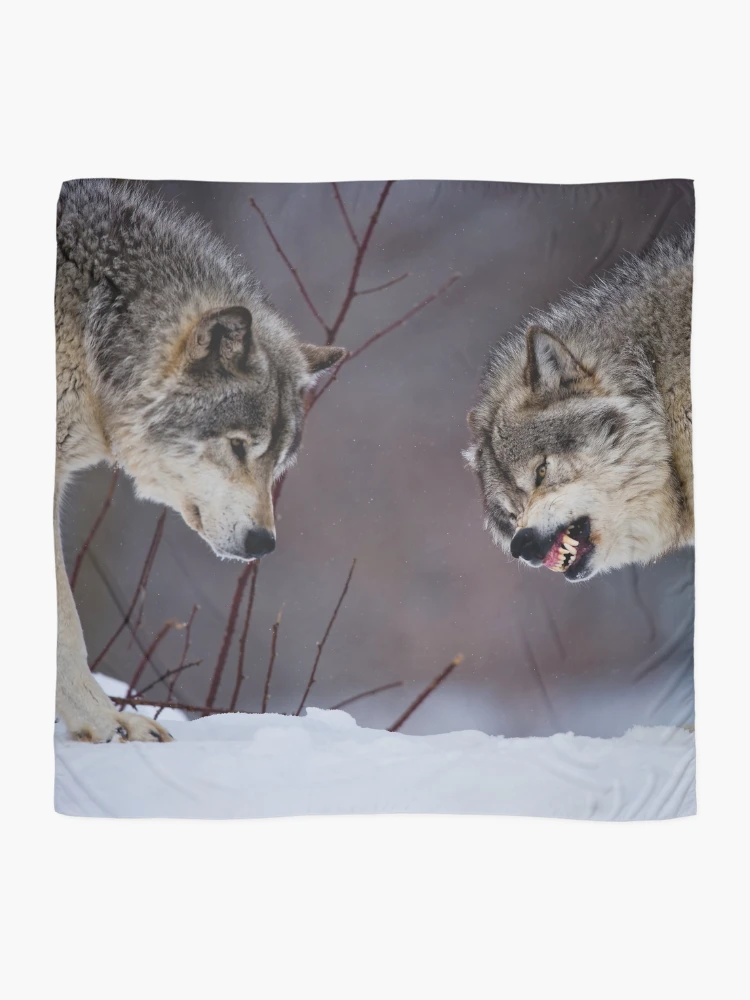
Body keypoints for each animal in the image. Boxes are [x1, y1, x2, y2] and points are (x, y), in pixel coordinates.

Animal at [56, 180, 345, 741]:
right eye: (238, 446)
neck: (89, 330)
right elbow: (65, 627)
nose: (263, 544)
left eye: (279, 463)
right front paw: (107, 725)